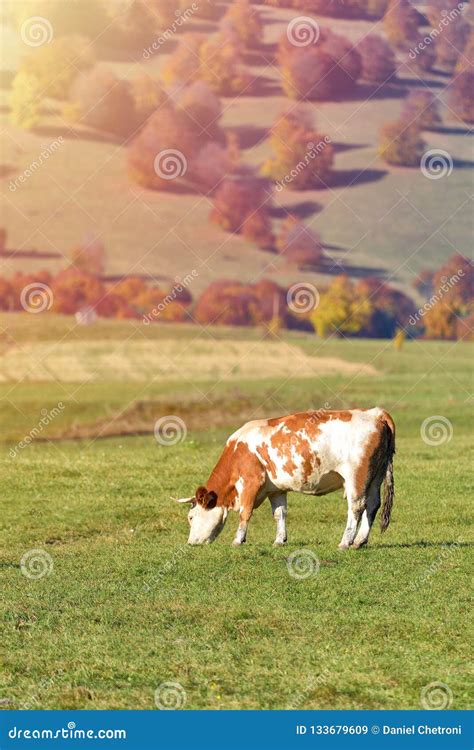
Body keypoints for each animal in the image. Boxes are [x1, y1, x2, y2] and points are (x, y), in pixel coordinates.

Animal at [176, 408, 394, 548]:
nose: (191, 543)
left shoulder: (250, 482)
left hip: (356, 476)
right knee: (372, 505)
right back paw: (360, 541)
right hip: (376, 476)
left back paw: (346, 541)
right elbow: (279, 514)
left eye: (191, 516)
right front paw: (279, 540)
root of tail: (373, 412)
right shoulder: (276, 489)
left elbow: (245, 513)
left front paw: (238, 540)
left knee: (356, 507)